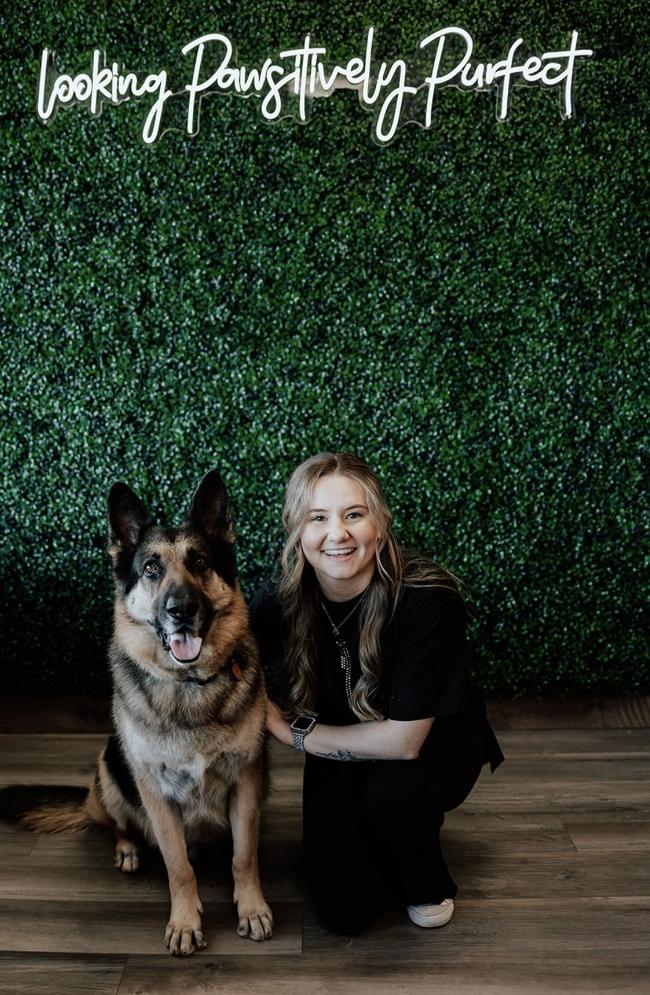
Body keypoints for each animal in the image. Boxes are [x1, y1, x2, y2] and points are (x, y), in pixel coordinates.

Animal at [10, 474, 272, 956]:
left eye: (200, 561)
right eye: (151, 568)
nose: (180, 610)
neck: (189, 685)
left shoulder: (246, 781)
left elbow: (243, 856)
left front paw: (251, 908)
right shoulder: (154, 791)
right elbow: (177, 864)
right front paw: (185, 921)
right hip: (110, 769)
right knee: (120, 824)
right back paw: (128, 848)